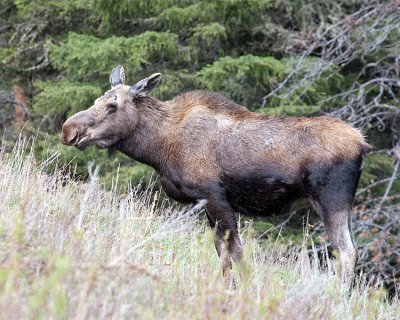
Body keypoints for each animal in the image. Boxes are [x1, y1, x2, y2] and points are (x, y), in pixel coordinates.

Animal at [61, 64, 370, 282]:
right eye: (97, 100)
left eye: (112, 105)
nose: (68, 130)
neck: (159, 148)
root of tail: (363, 144)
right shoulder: (206, 205)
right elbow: (223, 255)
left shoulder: (214, 196)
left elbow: (236, 253)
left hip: (332, 200)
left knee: (347, 252)